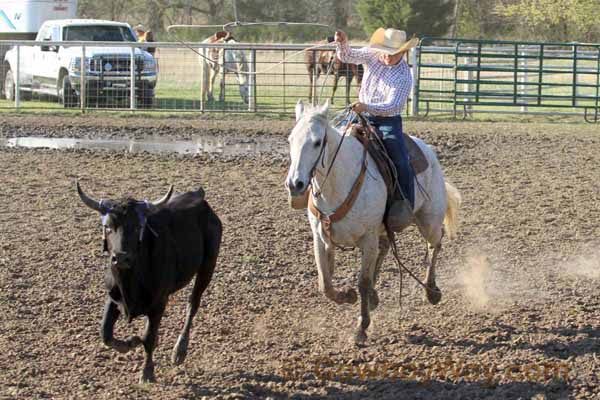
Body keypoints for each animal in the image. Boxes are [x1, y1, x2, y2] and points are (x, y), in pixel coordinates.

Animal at [77, 181, 223, 382]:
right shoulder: (113, 297)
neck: (131, 281)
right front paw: (130, 343)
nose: (121, 258)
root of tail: (200, 198)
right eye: (108, 226)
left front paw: (147, 372)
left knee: (193, 305)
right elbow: (105, 333)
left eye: (138, 227)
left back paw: (179, 351)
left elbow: (149, 339)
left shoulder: (159, 304)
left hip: (208, 266)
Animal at [286, 100, 464, 344]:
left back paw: (431, 291)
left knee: (435, 244)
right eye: (290, 140)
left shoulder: (367, 237)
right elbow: (325, 284)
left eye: (317, 142)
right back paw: (374, 297)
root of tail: (427, 150)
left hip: (429, 220)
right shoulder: (320, 238)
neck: (338, 183)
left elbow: (363, 281)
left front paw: (361, 328)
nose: (295, 184)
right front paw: (348, 296)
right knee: (386, 247)